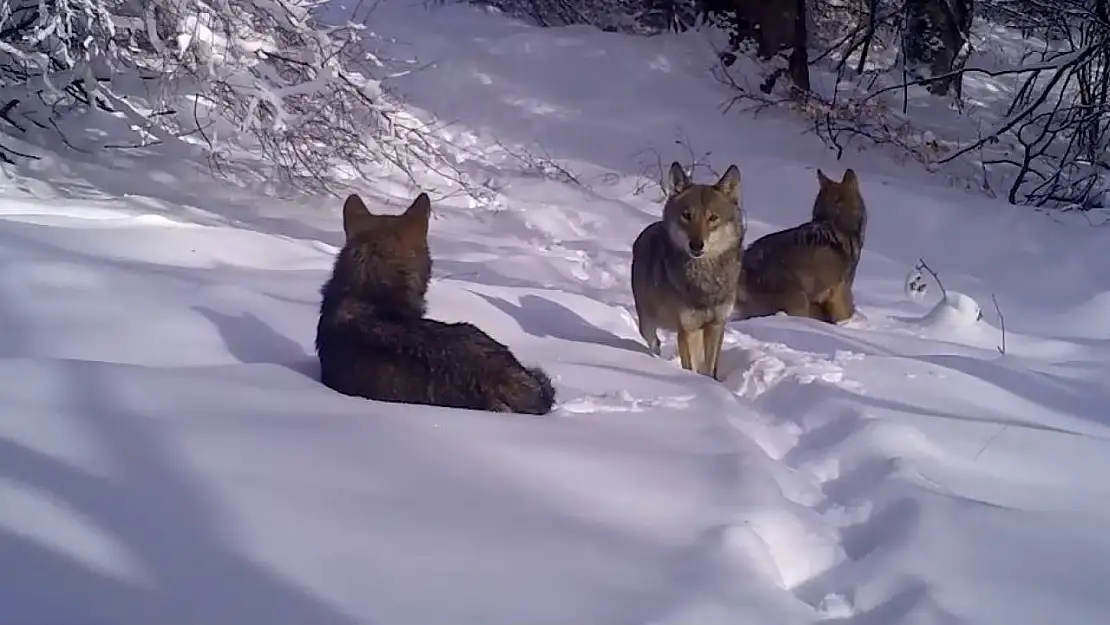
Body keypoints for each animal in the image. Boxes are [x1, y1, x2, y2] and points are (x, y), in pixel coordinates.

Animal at [634, 159, 745, 381]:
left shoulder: (715, 326)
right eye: (687, 216)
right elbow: (691, 367)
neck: (706, 280)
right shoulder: (687, 329)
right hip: (647, 323)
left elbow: (708, 369)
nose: (696, 245)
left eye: (713, 218)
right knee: (654, 342)